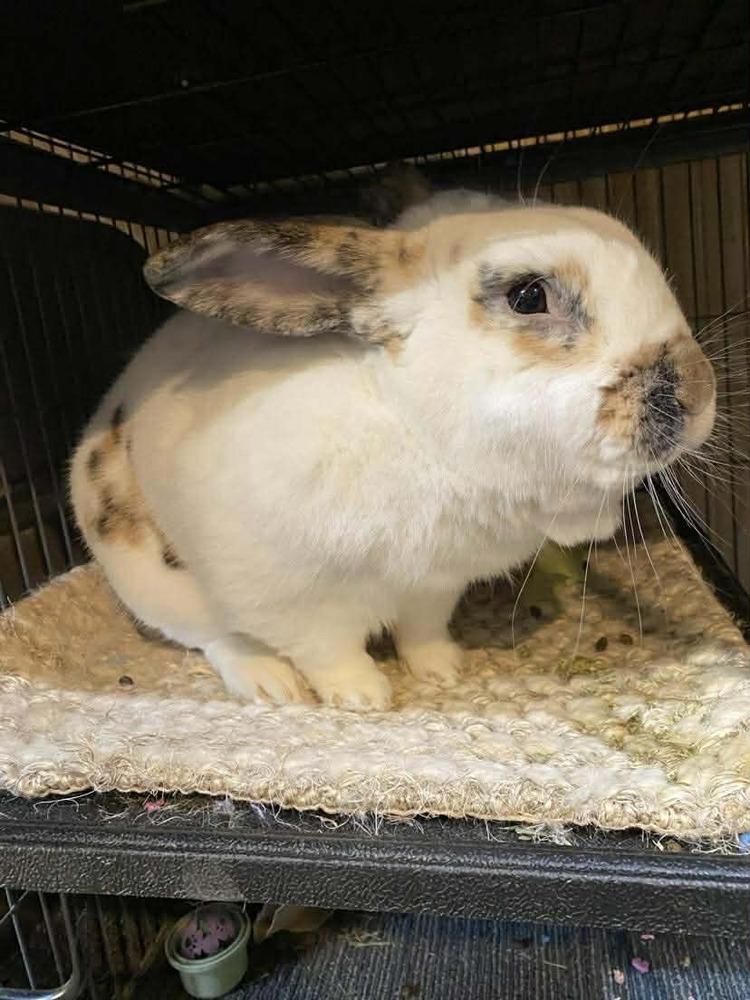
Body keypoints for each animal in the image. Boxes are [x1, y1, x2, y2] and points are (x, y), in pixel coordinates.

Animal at [69, 175, 716, 711]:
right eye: (529, 296)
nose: (698, 390)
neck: (418, 435)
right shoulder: (290, 597)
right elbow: (327, 650)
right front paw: (363, 697)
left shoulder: (435, 586)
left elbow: (422, 632)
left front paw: (443, 670)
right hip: (153, 582)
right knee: (214, 637)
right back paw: (270, 683)